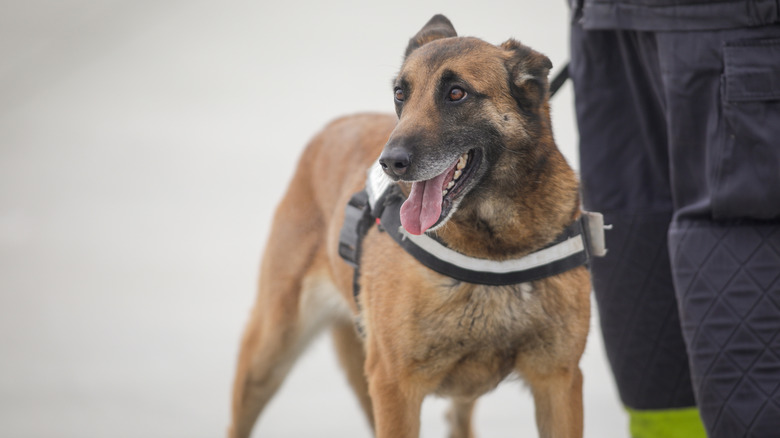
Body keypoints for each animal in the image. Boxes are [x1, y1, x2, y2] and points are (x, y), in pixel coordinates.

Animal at [229, 14, 596, 438]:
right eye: (400, 94)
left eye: (456, 93)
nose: (390, 162)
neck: (493, 248)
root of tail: (334, 125)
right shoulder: (395, 386)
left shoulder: (558, 381)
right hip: (269, 353)